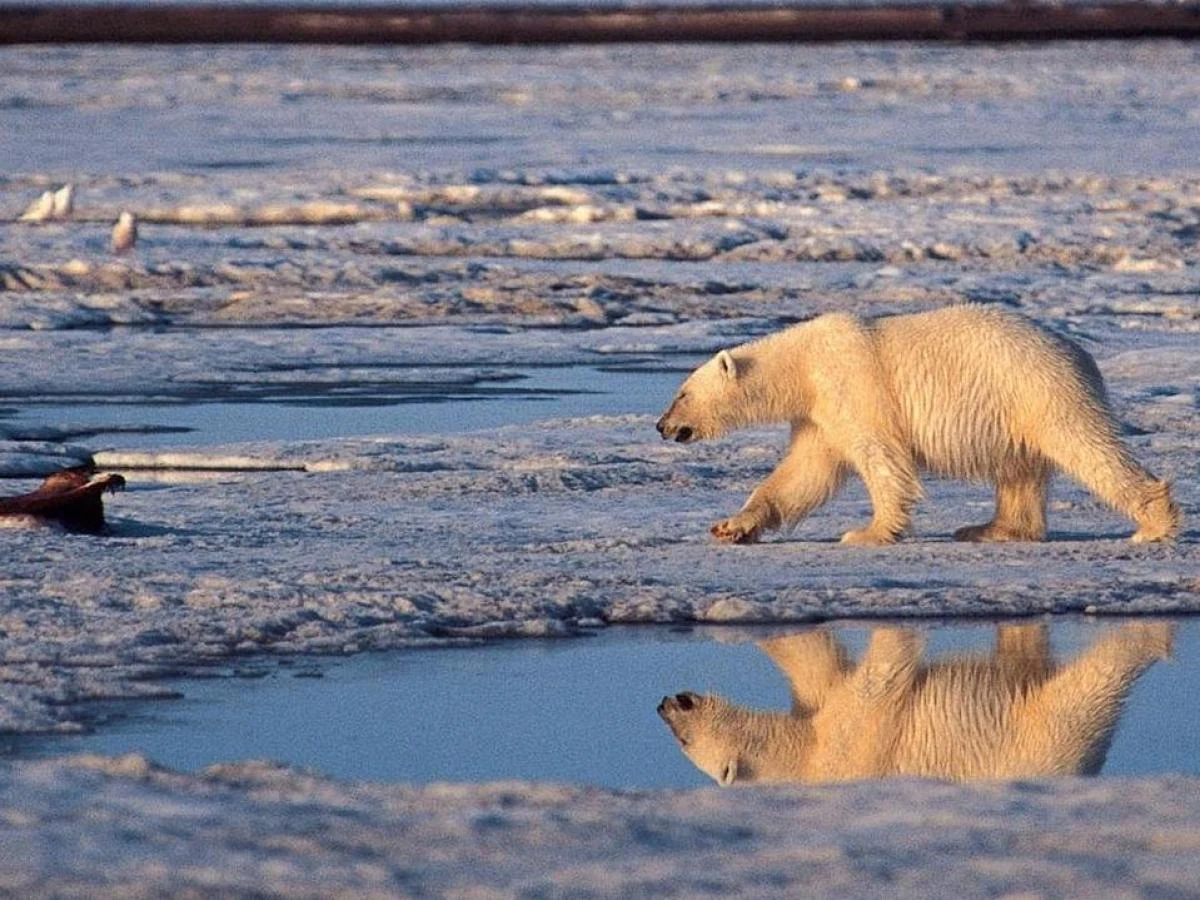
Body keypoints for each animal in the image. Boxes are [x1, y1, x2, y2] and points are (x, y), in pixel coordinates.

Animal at [655, 305, 1179, 545]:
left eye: (681, 393)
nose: (662, 426)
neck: (802, 365)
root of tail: (1080, 353)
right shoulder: (819, 415)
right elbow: (803, 473)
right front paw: (731, 526)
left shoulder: (854, 387)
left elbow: (880, 458)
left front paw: (866, 533)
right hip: (1017, 407)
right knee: (1019, 470)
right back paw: (989, 528)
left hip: (1038, 389)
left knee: (1086, 446)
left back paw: (1152, 524)